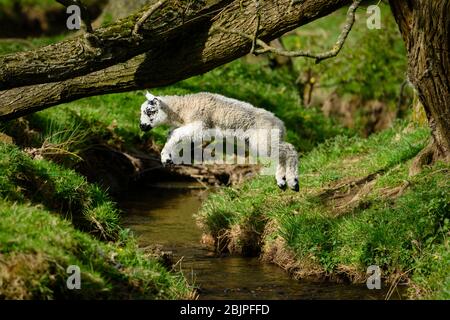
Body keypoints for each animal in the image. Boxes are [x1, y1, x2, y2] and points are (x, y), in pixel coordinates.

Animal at [138, 91, 298, 191]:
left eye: (150, 111)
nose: (142, 126)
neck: (183, 109)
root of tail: (280, 124)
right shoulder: (196, 129)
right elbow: (174, 134)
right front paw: (169, 158)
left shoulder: (200, 124)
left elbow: (176, 134)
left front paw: (166, 156)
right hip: (263, 139)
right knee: (281, 154)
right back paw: (282, 181)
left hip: (264, 138)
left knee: (289, 150)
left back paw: (293, 181)